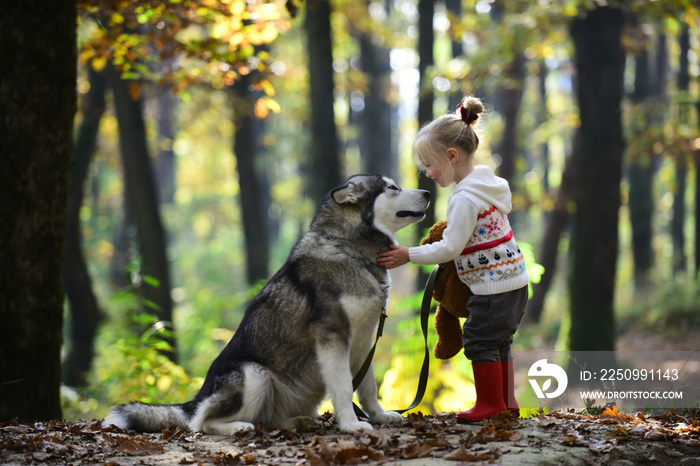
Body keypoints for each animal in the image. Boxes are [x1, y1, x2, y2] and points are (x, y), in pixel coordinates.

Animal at [102, 174, 432, 434]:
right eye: (392, 187)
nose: (428, 192)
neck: (351, 252)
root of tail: (197, 397)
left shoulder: (364, 339)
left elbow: (368, 387)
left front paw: (379, 416)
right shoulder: (333, 336)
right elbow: (342, 387)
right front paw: (351, 425)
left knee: (268, 419)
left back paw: (297, 422)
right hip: (253, 375)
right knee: (201, 423)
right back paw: (237, 427)